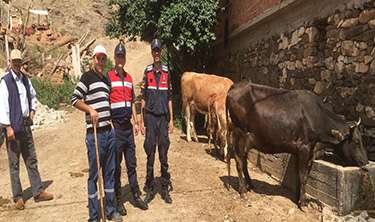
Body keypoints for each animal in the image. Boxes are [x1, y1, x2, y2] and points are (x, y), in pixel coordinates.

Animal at [226, 81, 370, 208]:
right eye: (357, 141)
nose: (366, 162)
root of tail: (236, 86)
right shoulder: (304, 148)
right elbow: (302, 176)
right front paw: (303, 202)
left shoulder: (306, 151)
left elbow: (300, 176)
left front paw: (298, 197)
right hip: (239, 134)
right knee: (239, 162)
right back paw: (243, 190)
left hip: (246, 140)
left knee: (243, 161)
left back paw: (250, 185)